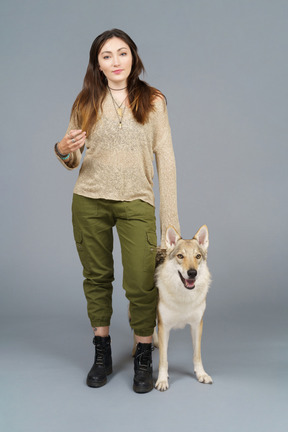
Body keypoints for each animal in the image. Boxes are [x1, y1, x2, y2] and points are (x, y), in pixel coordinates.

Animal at [154, 226, 213, 392]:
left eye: (197, 256)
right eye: (180, 256)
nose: (192, 273)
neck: (184, 296)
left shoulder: (197, 325)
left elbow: (197, 355)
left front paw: (201, 374)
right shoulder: (164, 327)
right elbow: (163, 359)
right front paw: (162, 380)